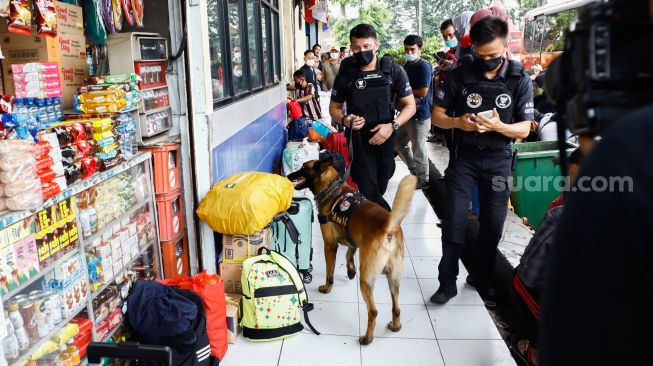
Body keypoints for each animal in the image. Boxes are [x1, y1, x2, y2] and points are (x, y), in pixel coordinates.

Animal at [286, 158, 418, 346]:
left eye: (304, 167)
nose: (289, 175)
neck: (332, 188)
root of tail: (388, 228)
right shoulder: (353, 240)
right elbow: (349, 253)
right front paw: (350, 270)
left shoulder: (330, 246)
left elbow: (330, 272)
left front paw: (327, 287)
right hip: (394, 279)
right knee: (396, 307)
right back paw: (395, 326)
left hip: (367, 280)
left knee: (373, 312)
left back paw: (367, 338)